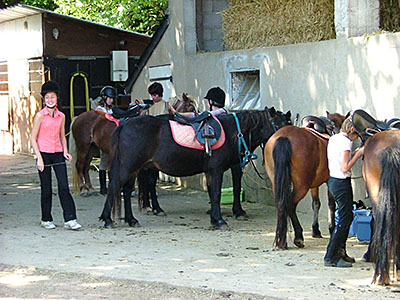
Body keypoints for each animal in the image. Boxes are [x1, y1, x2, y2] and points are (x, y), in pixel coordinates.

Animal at [70, 94, 198, 197]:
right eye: (191, 108)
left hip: (92, 148)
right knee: (79, 165)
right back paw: (83, 189)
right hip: (83, 146)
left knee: (86, 167)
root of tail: (78, 118)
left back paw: (91, 189)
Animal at [262, 111, 346, 250]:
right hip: (302, 186)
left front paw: (315, 230)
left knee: (281, 204)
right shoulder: (330, 180)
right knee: (290, 204)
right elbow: (331, 204)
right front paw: (331, 228)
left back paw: (282, 240)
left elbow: (316, 203)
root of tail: (284, 137)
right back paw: (298, 237)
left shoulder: (314, 184)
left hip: (278, 183)